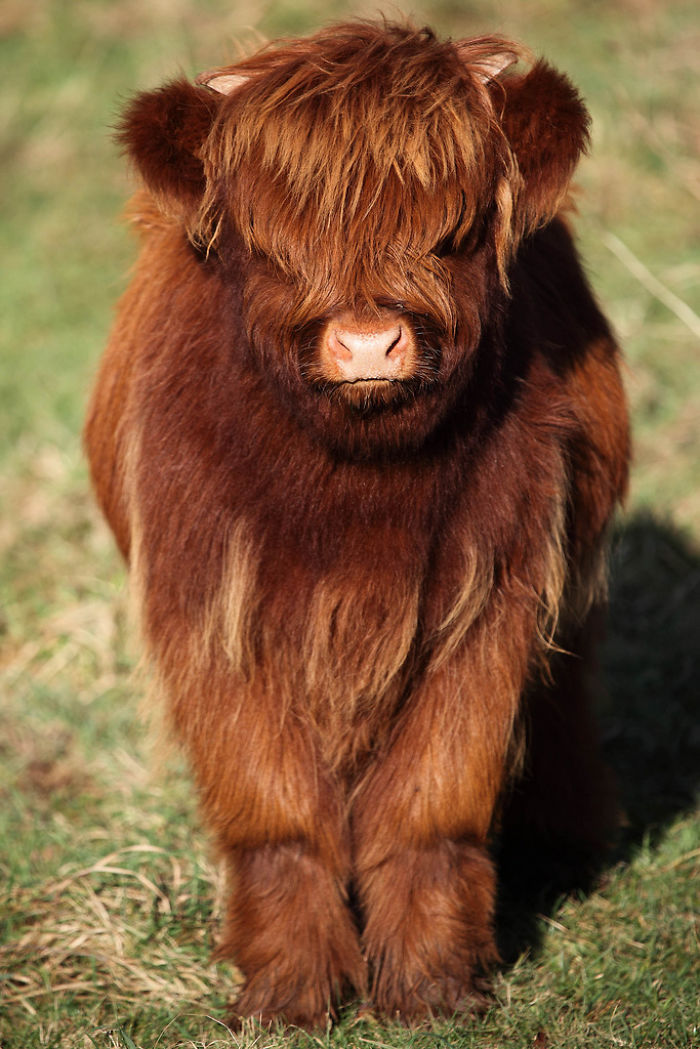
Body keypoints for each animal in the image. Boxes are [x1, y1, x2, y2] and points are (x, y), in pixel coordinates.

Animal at [84, 19, 629, 1028]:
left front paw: (433, 985)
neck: (355, 506)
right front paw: (286, 989)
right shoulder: (214, 609)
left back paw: (568, 840)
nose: (369, 343)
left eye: (452, 234)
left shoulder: (491, 599)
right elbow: (274, 810)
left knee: (565, 697)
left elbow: (431, 802)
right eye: (272, 246)